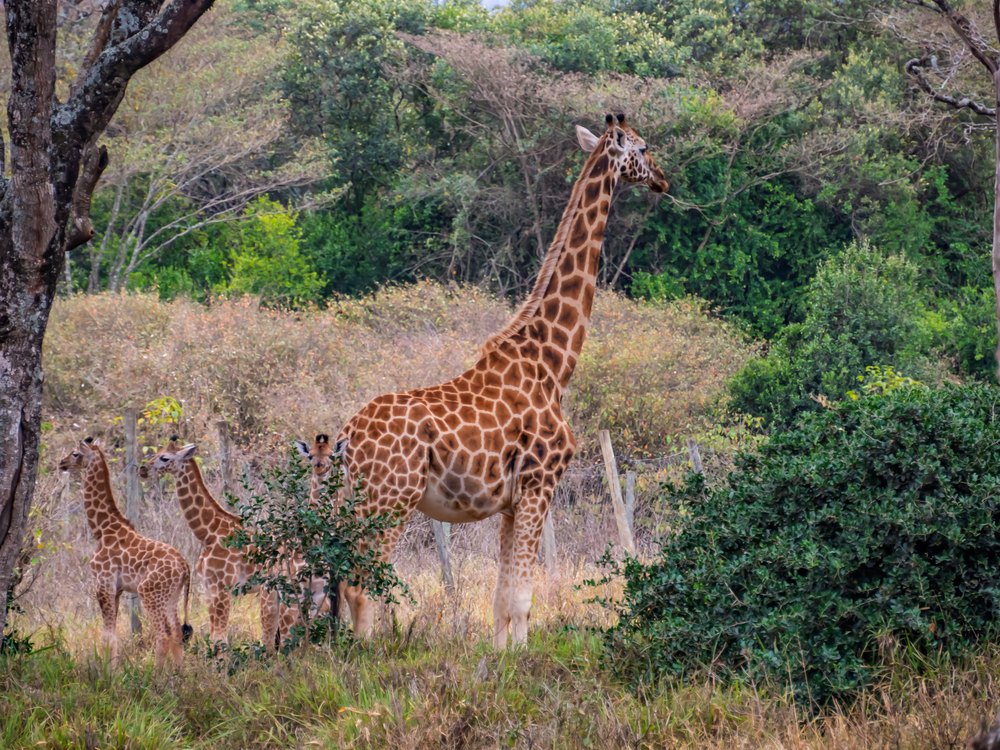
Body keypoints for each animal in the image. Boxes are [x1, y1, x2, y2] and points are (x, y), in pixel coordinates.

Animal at [58, 437, 192, 667]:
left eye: (75, 453)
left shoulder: (103, 584)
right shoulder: (117, 589)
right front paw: (111, 668)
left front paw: (108, 671)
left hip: (150, 593)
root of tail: (185, 567)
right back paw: (179, 672)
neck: (102, 529)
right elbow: (111, 634)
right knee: (176, 632)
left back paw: (155, 674)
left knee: (163, 634)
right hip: (172, 596)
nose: (62, 463)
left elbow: (107, 635)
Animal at [140, 438, 293, 650]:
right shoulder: (209, 588)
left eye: (165, 458)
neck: (208, 533)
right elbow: (215, 638)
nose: (143, 469)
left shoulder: (222, 588)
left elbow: (220, 640)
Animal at [332, 114, 668, 646]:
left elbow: (500, 598)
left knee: (347, 579)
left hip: (361, 500)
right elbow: (523, 597)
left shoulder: (510, 502)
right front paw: (521, 658)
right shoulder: (540, 482)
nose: (662, 179)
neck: (553, 364)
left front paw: (499, 655)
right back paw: (364, 656)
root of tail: (346, 437)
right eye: (642, 147)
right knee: (359, 582)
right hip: (390, 499)